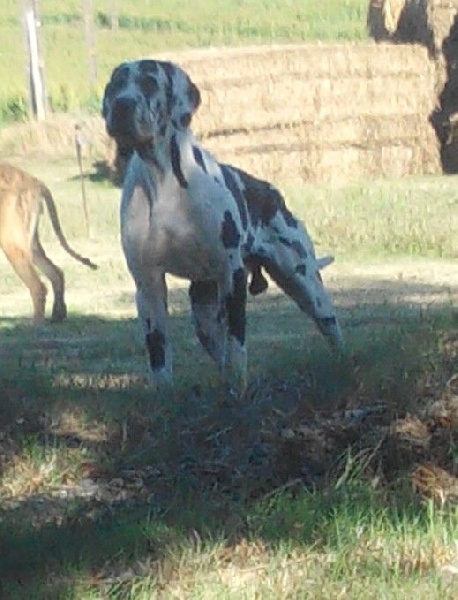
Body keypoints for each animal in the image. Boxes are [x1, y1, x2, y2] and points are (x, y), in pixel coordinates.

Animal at [0, 162, 96, 324]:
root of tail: (34, 181)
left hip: (12, 244)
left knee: (39, 287)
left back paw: (36, 326)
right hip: (29, 246)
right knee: (57, 273)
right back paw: (58, 315)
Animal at [102, 58, 342, 392]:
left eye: (150, 81)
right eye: (115, 85)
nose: (122, 105)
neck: (164, 180)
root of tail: (272, 194)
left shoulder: (233, 276)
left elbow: (237, 345)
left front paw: (239, 391)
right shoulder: (147, 285)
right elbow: (159, 356)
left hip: (306, 285)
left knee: (332, 331)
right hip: (204, 314)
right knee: (219, 353)